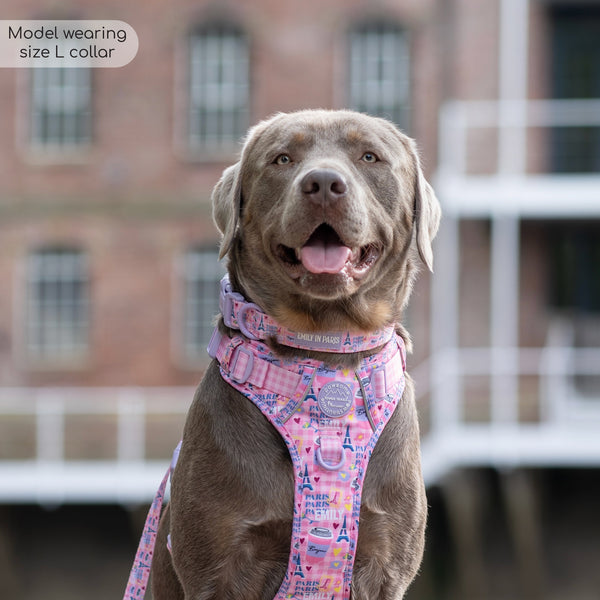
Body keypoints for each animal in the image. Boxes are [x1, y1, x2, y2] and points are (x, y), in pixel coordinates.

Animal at [150, 110, 440, 596]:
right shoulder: (216, 567)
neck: (324, 351)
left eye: (370, 157)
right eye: (282, 158)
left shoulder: (387, 562)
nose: (323, 183)